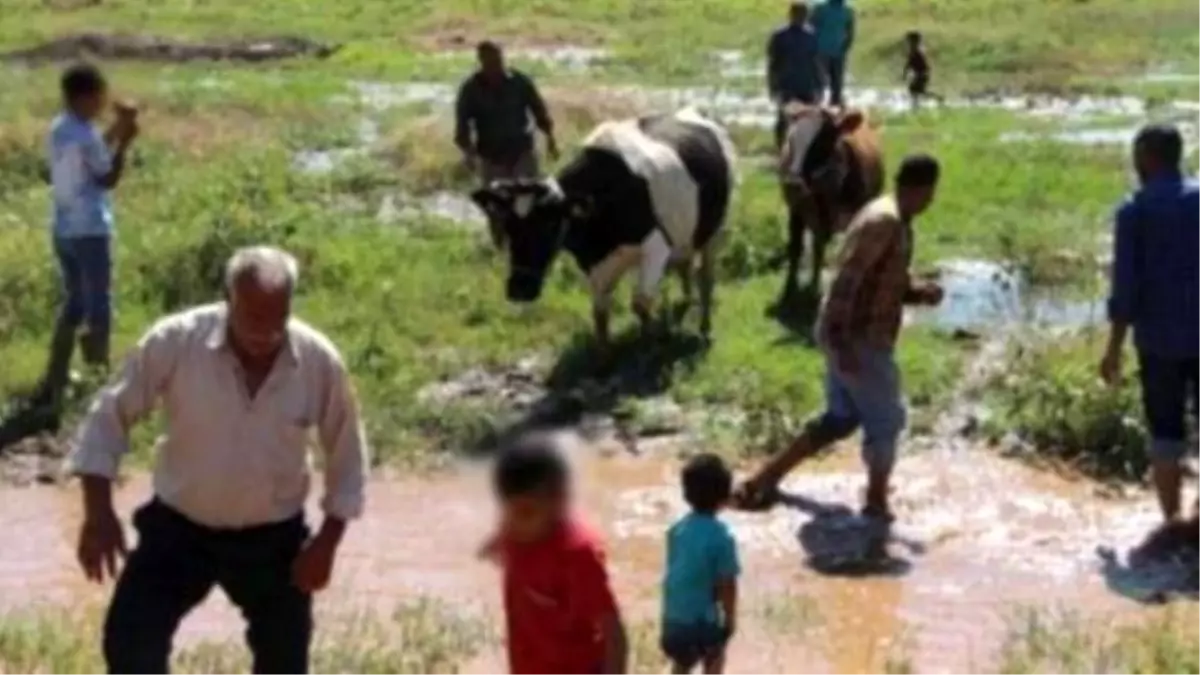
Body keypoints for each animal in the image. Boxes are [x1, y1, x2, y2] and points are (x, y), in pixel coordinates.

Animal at [470, 106, 734, 345]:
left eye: (550, 222)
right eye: (508, 224)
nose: (519, 289)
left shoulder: (656, 246)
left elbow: (641, 304)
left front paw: (649, 347)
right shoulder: (594, 263)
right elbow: (600, 313)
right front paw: (604, 359)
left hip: (714, 231)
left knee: (705, 277)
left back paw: (705, 327)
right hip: (684, 235)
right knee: (685, 266)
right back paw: (686, 303)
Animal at [777, 102, 883, 291]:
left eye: (823, 142)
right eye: (791, 141)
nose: (792, 183)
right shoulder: (797, 212)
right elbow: (798, 247)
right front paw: (795, 287)